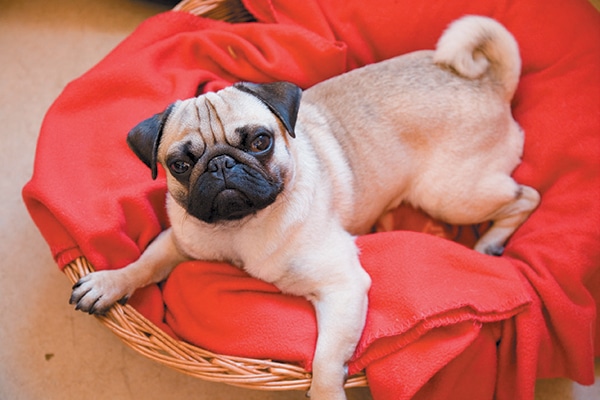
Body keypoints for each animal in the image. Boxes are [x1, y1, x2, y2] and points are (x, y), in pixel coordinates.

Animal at [69, 16, 540, 400]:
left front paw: (326, 390)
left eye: (260, 141)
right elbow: (144, 263)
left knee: (526, 196)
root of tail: (491, 83)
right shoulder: (181, 241)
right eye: (180, 165)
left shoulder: (342, 286)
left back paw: (490, 243)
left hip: (449, 194)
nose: (221, 164)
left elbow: (326, 359)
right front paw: (110, 281)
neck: (240, 228)